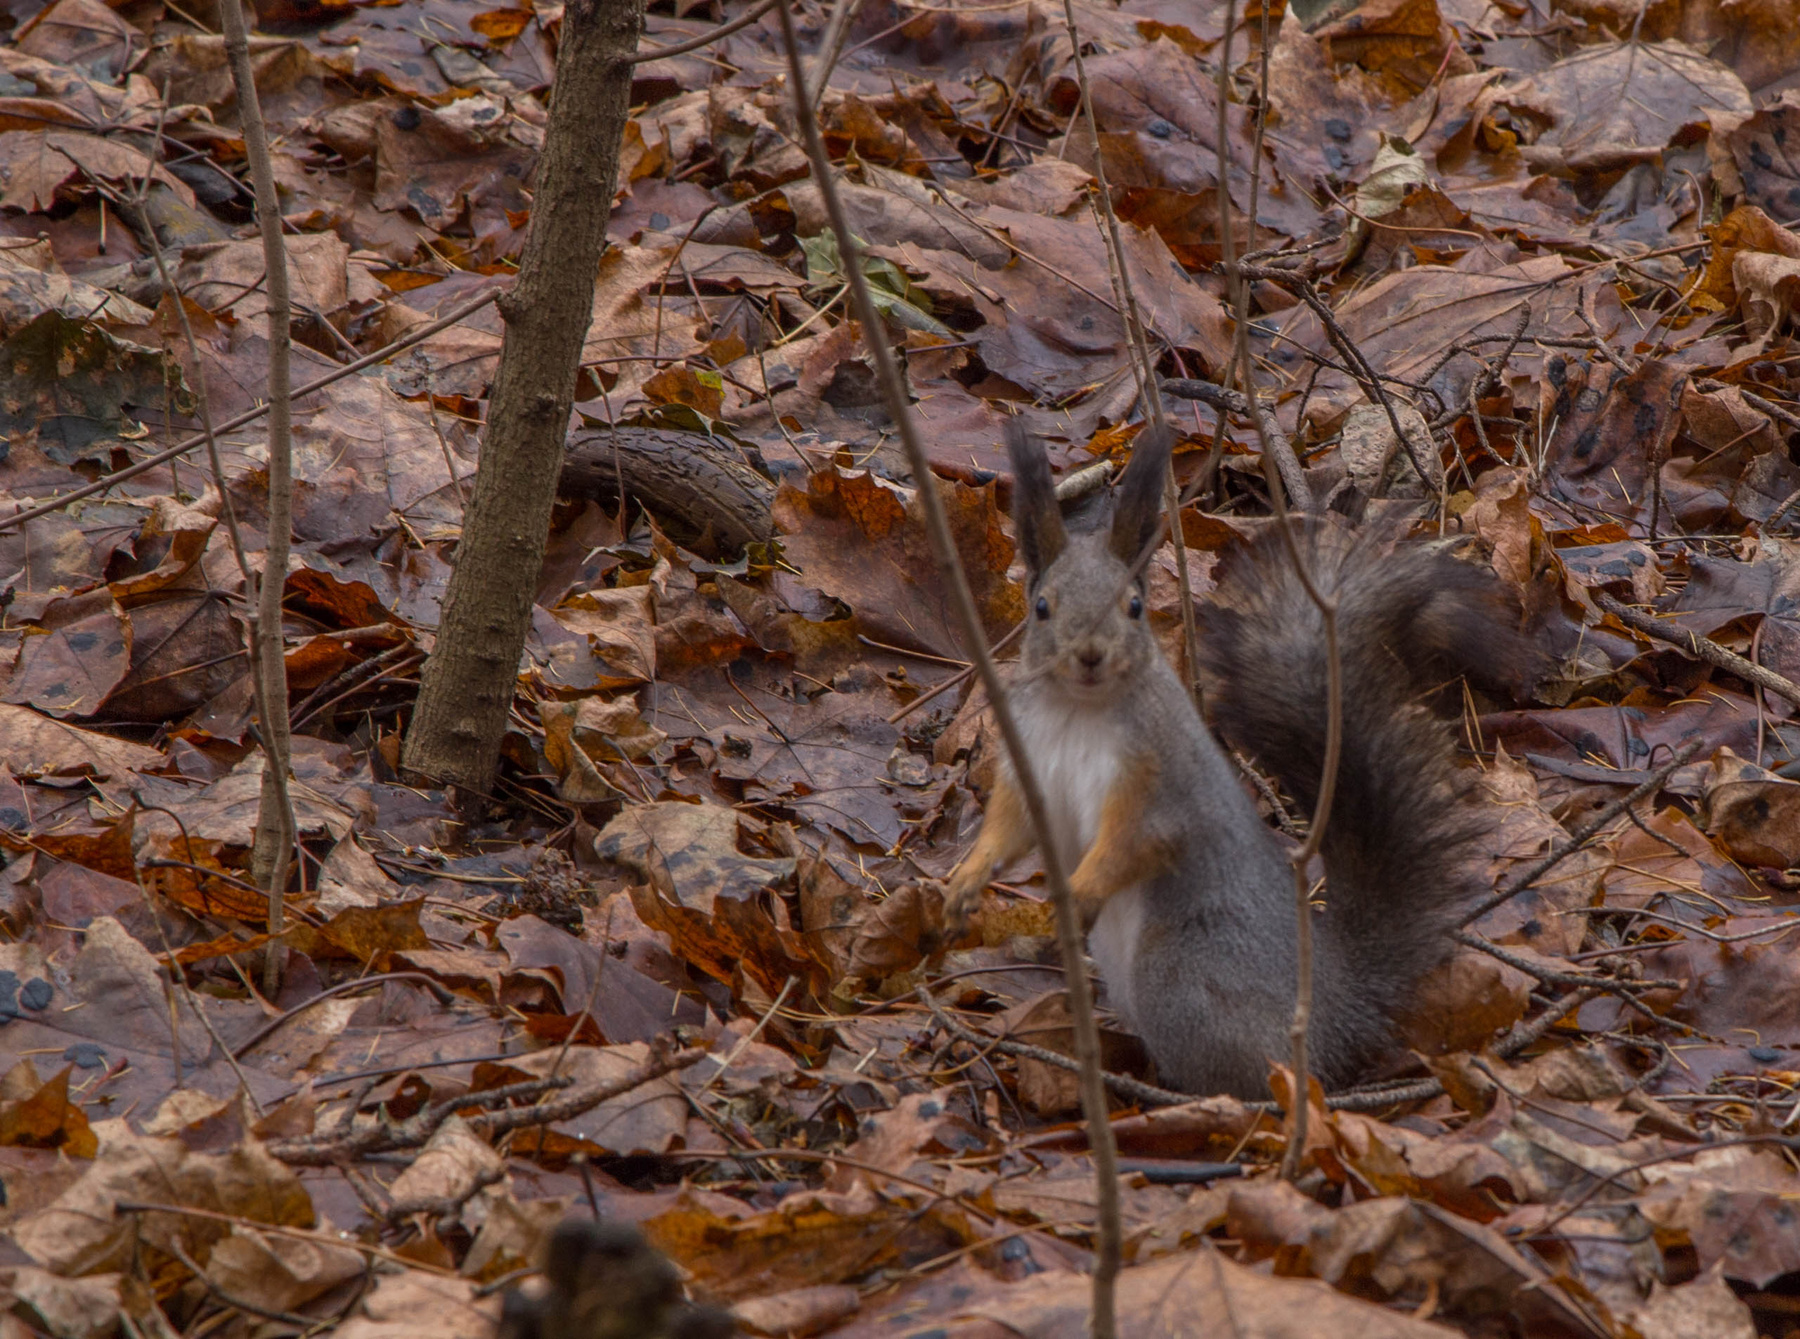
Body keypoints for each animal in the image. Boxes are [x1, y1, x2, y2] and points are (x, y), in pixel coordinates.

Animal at [942, 421, 1523, 1099]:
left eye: (1135, 606)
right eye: (1041, 607)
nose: (1088, 654)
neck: (1078, 712)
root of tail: (1333, 1008)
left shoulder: (1163, 779)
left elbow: (1139, 841)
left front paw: (1080, 889)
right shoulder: (1027, 763)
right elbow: (1009, 829)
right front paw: (964, 882)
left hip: (1179, 977)